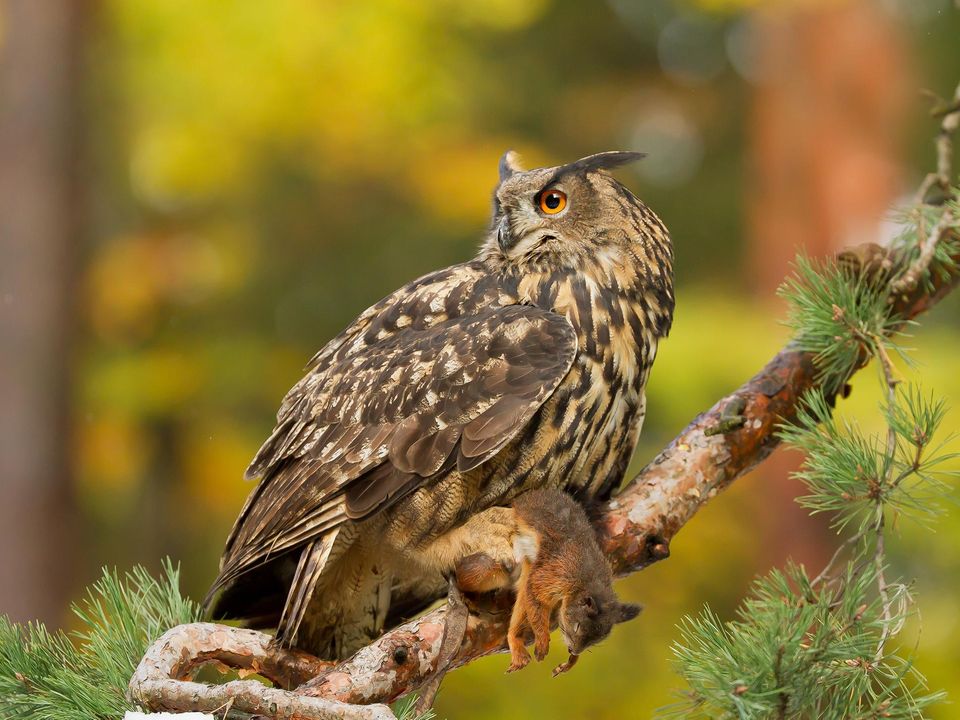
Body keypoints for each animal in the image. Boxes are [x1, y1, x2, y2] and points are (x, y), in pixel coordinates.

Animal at [453, 488, 640, 675]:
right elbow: (536, 598)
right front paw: (543, 641)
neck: (589, 579)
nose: (574, 650)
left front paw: (571, 661)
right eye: (577, 626)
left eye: (597, 640)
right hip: (492, 565)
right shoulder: (556, 574)